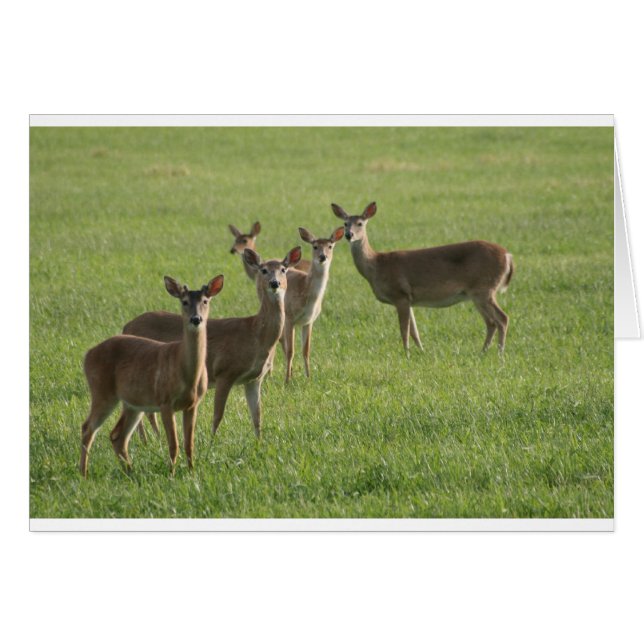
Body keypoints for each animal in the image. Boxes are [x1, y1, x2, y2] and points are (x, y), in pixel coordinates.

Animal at [79, 274, 225, 477]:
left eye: (205, 300)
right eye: (184, 301)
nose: (196, 319)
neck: (187, 374)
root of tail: (87, 355)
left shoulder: (193, 404)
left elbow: (189, 444)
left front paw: (191, 472)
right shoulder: (165, 401)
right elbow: (174, 444)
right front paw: (171, 474)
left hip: (133, 403)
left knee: (117, 436)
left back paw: (130, 472)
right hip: (102, 391)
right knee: (88, 428)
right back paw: (84, 474)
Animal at [123, 247, 302, 439]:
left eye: (283, 269)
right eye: (264, 270)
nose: (275, 283)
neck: (255, 334)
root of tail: (126, 326)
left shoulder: (254, 379)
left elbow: (257, 416)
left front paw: (259, 441)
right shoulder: (225, 371)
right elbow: (218, 414)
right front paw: (212, 440)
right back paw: (147, 439)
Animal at [277, 226, 345, 382]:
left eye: (330, 246)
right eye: (315, 246)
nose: (322, 256)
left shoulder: (309, 321)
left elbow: (306, 350)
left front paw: (308, 377)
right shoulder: (290, 317)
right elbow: (290, 351)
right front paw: (287, 380)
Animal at [332, 202, 514, 354]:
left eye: (360, 223)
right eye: (345, 223)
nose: (348, 235)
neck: (377, 265)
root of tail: (507, 255)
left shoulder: (400, 294)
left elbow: (404, 330)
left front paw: (406, 354)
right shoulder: (409, 299)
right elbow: (414, 331)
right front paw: (421, 351)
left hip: (484, 288)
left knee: (502, 318)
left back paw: (500, 353)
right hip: (478, 293)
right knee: (491, 322)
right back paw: (484, 351)